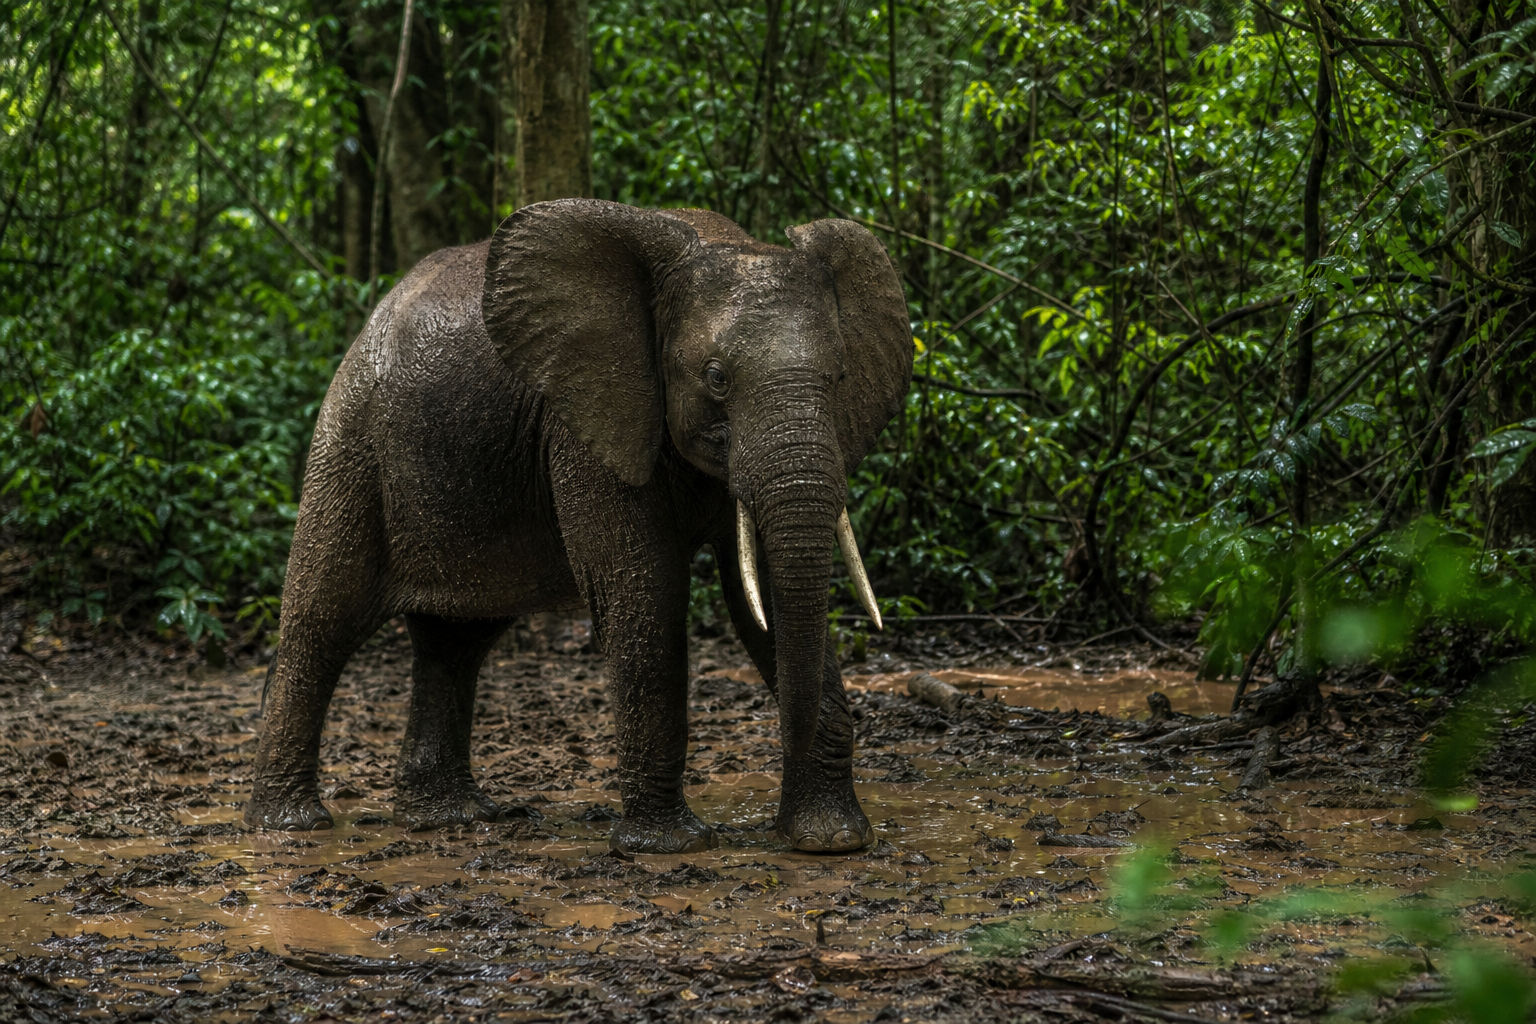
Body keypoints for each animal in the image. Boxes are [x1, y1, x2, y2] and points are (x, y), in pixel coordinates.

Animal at [244, 198, 913, 854]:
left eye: (840, 379)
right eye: (717, 377)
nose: (771, 832)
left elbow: (769, 592)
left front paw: (830, 842)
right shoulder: (587, 418)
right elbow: (643, 587)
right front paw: (667, 846)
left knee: (455, 641)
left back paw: (449, 818)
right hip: (352, 444)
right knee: (323, 618)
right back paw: (292, 826)